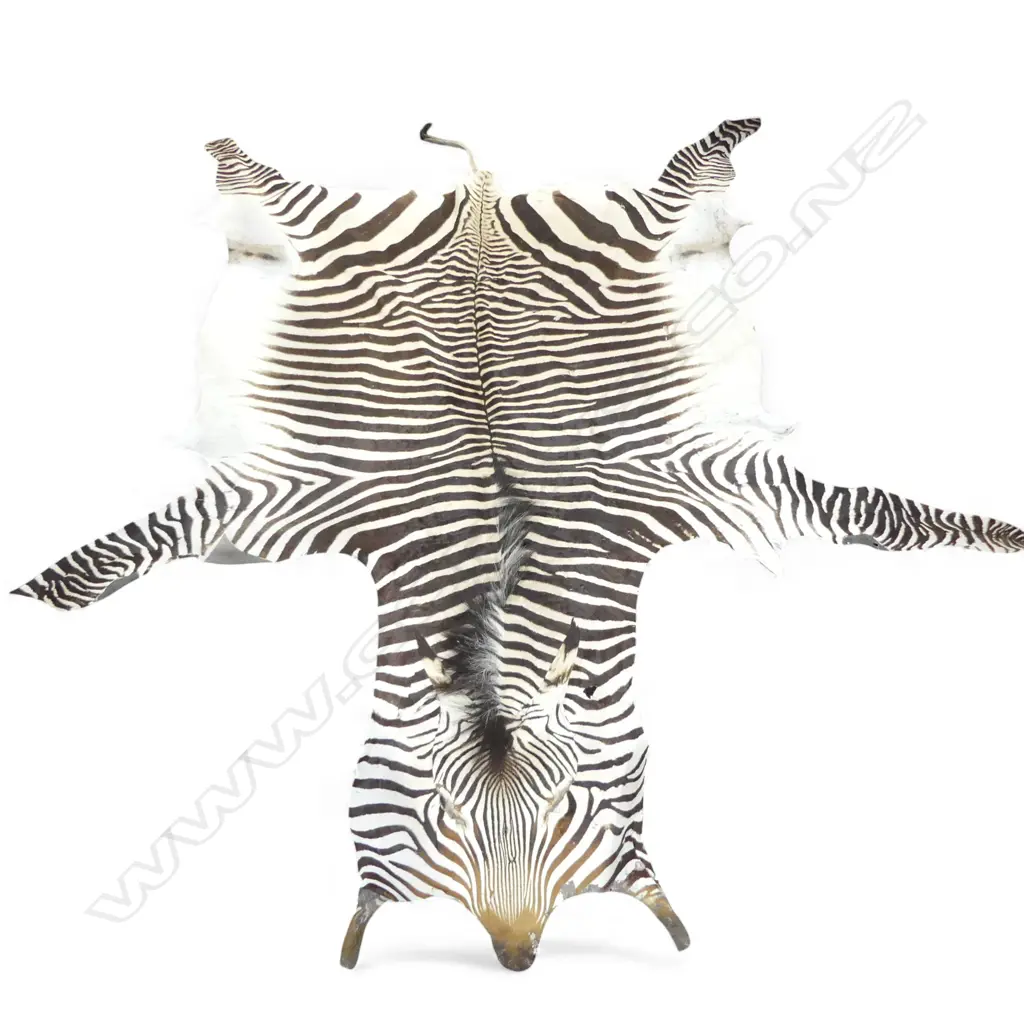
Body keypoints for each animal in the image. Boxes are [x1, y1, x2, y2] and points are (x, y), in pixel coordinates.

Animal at [11, 119, 1022, 969]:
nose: (517, 956)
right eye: (435, 825)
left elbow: (882, 514)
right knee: (270, 183)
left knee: (684, 173)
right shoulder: (289, 496)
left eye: (580, 819)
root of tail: (483, 216)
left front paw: (997, 536)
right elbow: (123, 548)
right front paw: (34, 597)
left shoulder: (692, 480)